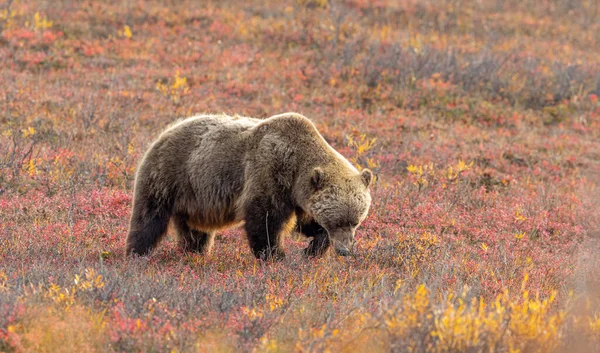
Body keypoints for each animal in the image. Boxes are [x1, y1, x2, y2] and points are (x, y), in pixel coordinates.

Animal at [125, 113, 372, 258]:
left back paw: (195, 252)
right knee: (149, 218)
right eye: (337, 221)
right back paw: (137, 253)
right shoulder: (269, 173)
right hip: (169, 175)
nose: (345, 250)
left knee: (195, 231)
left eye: (355, 221)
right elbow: (263, 219)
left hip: (193, 199)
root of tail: (165, 132)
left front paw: (313, 249)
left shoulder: (299, 196)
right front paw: (274, 255)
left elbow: (307, 223)